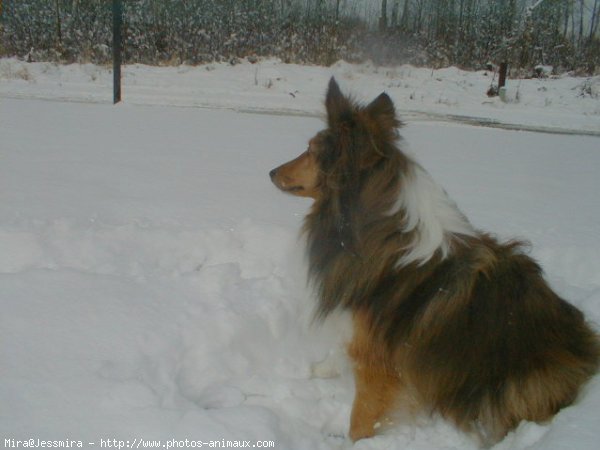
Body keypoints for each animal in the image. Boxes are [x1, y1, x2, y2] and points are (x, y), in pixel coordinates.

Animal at [270, 78, 596, 446]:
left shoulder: (378, 362)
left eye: (311, 150)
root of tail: (586, 348)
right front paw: (321, 368)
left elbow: (361, 418)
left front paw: (354, 441)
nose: (271, 172)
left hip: (519, 386)